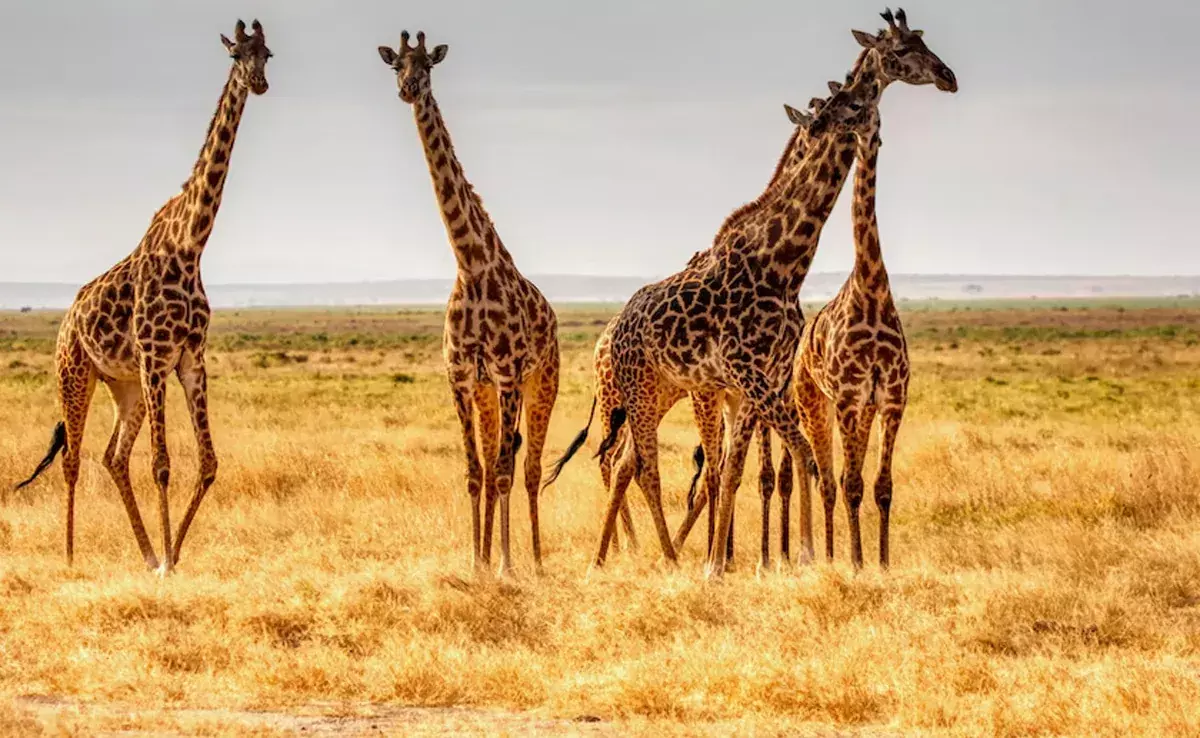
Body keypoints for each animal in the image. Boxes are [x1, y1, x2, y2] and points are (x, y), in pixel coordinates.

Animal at [14, 20, 272, 574]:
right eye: (236, 55)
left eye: (267, 54)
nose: (259, 83)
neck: (191, 245)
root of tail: (67, 319)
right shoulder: (156, 357)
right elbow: (162, 464)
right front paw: (170, 564)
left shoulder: (189, 358)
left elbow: (208, 462)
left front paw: (169, 555)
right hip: (75, 373)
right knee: (72, 458)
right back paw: (70, 557)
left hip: (124, 385)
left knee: (113, 456)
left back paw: (146, 551)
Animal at [378, 31, 560, 575]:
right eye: (395, 64)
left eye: (428, 66)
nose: (408, 89)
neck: (471, 265)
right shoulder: (461, 377)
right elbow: (474, 471)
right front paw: (476, 562)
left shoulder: (508, 375)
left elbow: (502, 471)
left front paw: (505, 565)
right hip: (487, 393)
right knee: (501, 459)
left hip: (542, 383)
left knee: (529, 467)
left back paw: (535, 561)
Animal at [792, 8, 956, 570]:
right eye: (901, 48)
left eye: (857, 102)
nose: (949, 77)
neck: (872, 288)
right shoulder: (847, 398)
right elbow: (850, 484)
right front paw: (858, 563)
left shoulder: (890, 399)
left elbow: (882, 486)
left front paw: (882, 563)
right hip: (814, 404)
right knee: (826, 480)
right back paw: (828, 555)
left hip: (855, 410)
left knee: (842, 478)